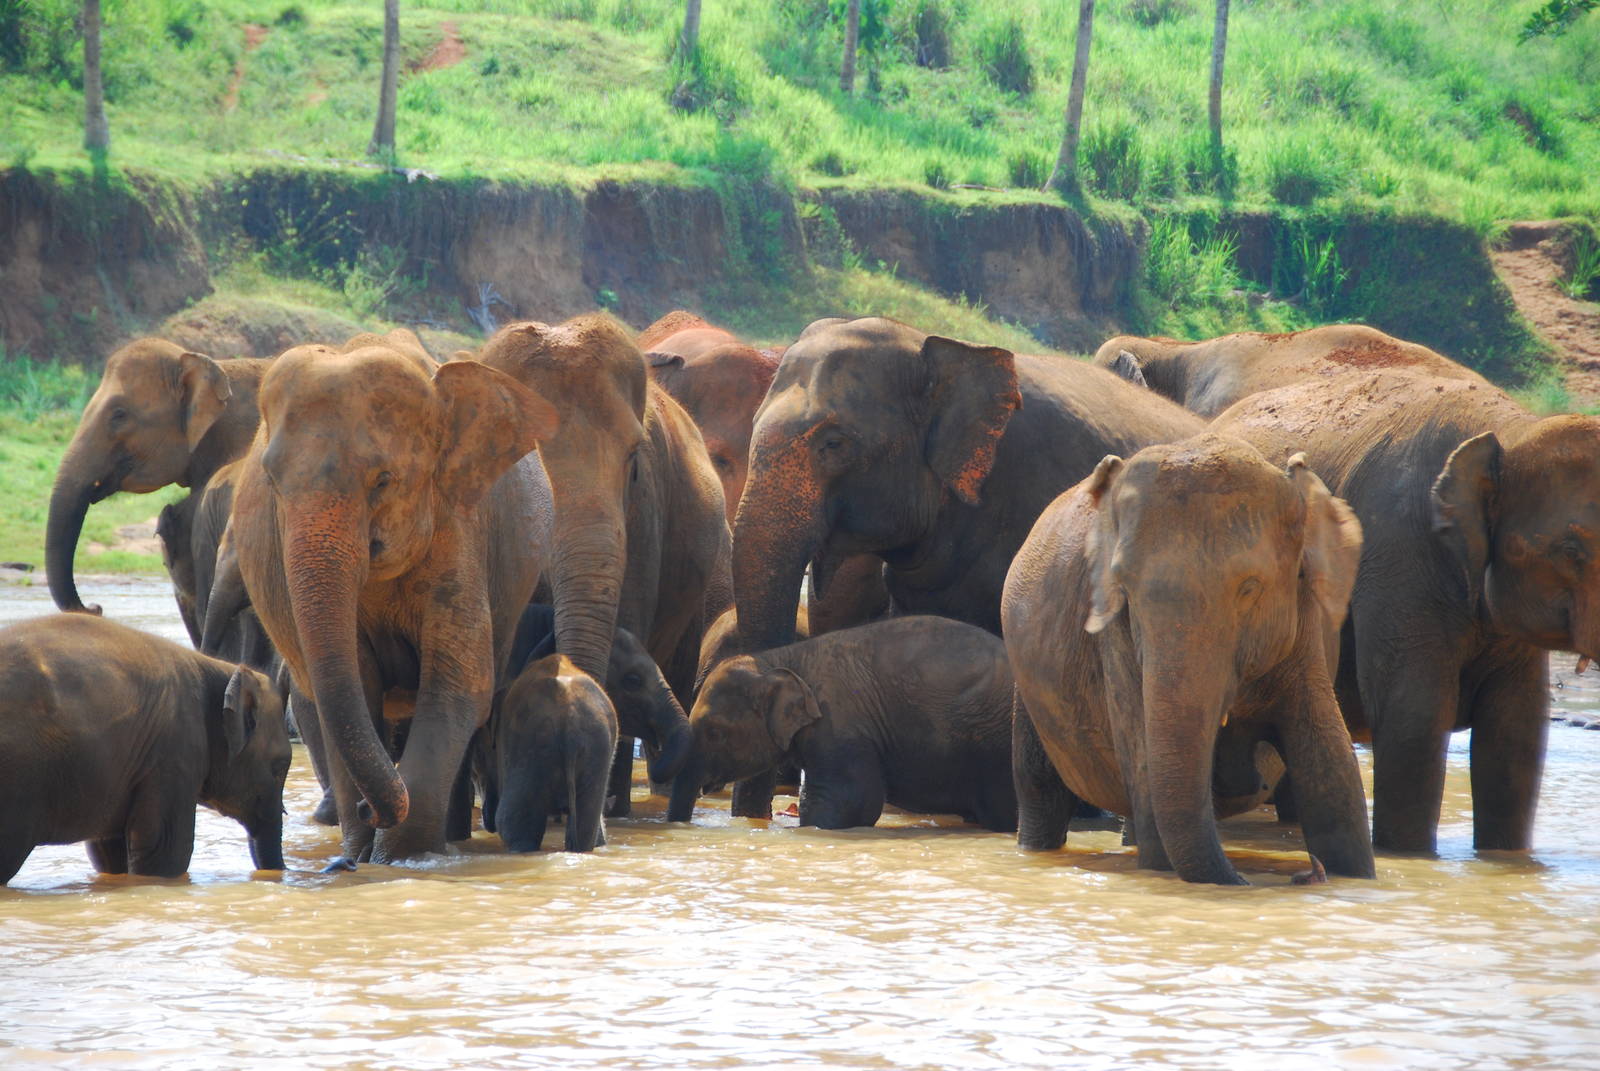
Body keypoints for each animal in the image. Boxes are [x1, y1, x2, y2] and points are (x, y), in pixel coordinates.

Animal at [229, 338, 558, 864]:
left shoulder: (457, 524)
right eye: (272, 483)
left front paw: (400, 859)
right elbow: (357, 683)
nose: (369, 811)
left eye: (383, 480)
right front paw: (364, 855)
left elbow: (458, 683)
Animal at [1002, 433, 1374, 885]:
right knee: (1039, 789)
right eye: (1124, 585)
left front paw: (1352, 876)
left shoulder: (1305, 635)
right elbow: (1145, 768)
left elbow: (1333, 774)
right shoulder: (1117, 641)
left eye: (1250, 588)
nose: (1304, 874)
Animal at [1211, 368, 1600, 855]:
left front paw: (1503, 860)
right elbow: (1414, 717)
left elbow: (1516, 733)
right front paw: (1408, 856)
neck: (1510, 430)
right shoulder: (1397, 552)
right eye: (1570, 551)